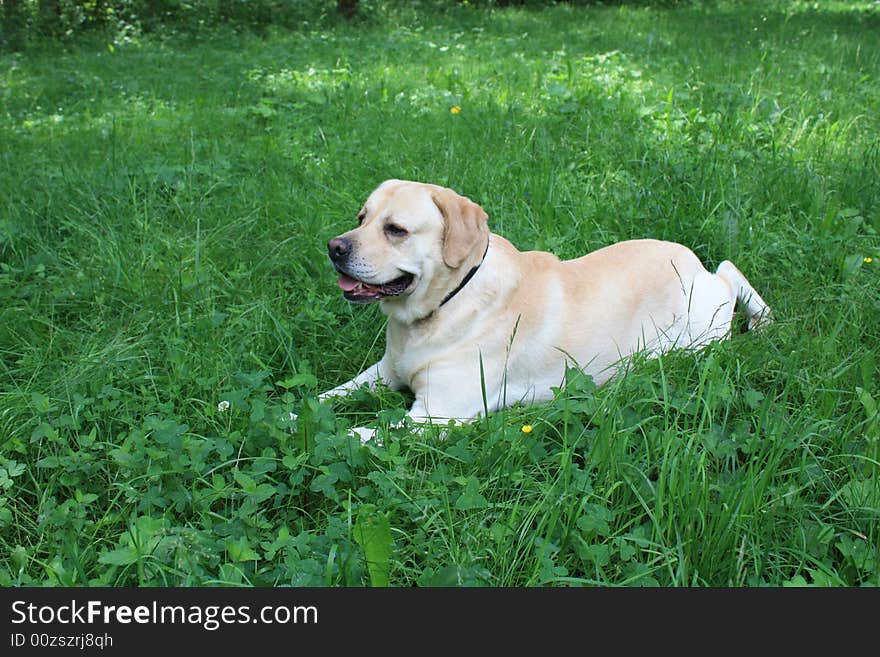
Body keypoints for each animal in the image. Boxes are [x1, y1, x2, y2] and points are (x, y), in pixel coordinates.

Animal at [312, 178, 768, 440]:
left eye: (396, 230)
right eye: (361, 217)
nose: (334, 247)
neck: (450, 300)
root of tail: (696, 266)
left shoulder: (437, 416)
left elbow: (356, 434)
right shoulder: (384, 372)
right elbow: (327, 397)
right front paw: (298, 413)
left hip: (694, 339)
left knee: (730, 278)